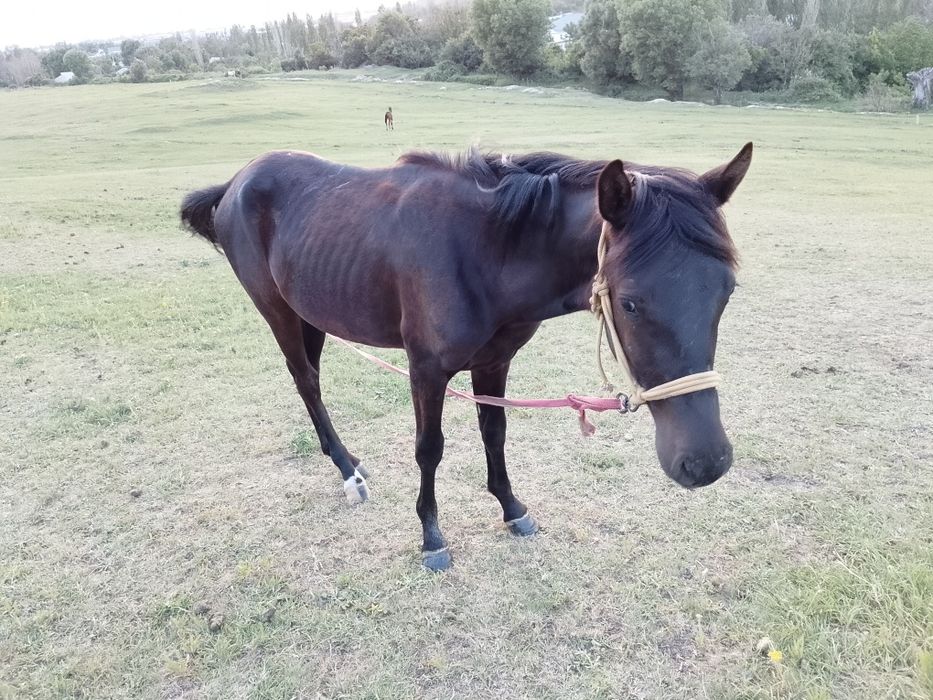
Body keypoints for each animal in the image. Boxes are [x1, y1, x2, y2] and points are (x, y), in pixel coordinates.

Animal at [180, 143, 752, 571]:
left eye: (727, 291)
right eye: (629, 302)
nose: (705, 462)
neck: (485, 249)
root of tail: (236, 181)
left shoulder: (494, 361)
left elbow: (494, 433)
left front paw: (511, 508)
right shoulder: (426, 370)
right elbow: (429, 449)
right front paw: (432, 537)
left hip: (311, 311)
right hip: (277, 310)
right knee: (305, 380)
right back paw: (346, 471)